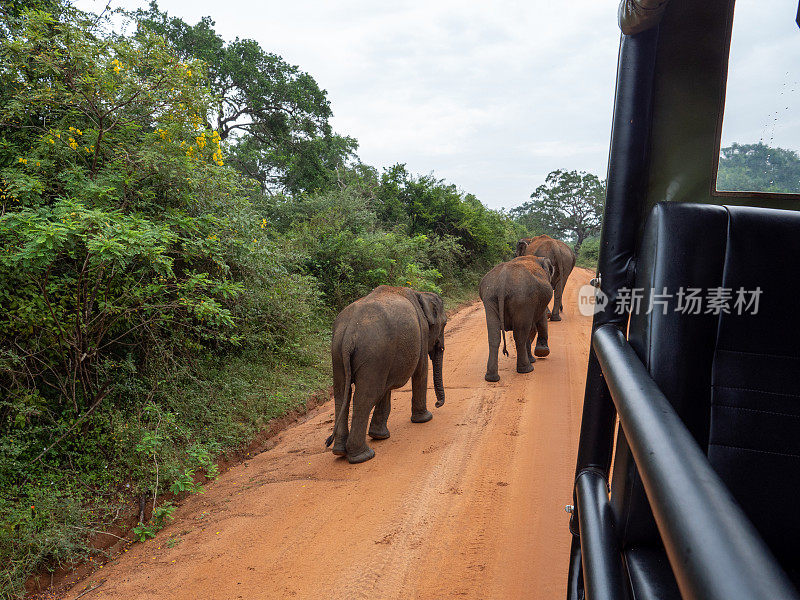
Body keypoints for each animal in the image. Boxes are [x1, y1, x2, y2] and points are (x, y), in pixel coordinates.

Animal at [326, 286, 450, 464]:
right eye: (445, 323)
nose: (438, 404)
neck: (420, 294)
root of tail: (350, 332)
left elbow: (386, 390)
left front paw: (380, 436)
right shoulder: (422, 333)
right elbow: (420, 371)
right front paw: (425, 419)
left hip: (338, 353)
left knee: (342, 395)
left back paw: (339, 452)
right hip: (374, 353)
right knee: (365, 397)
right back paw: (363, 456)